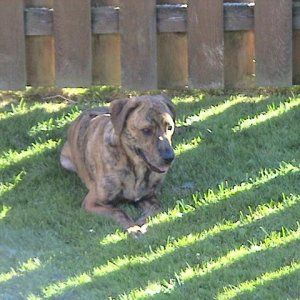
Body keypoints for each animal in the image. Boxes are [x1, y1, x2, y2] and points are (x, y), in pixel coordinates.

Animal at [59, 94, 175, 234]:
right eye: (146, 130)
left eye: (170, 127)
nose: (169, 158)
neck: (136, 171)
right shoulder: (92, 202)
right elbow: (118, 211)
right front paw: (133, 228)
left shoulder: (150, 198)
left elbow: (155, 210)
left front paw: (144, 223)